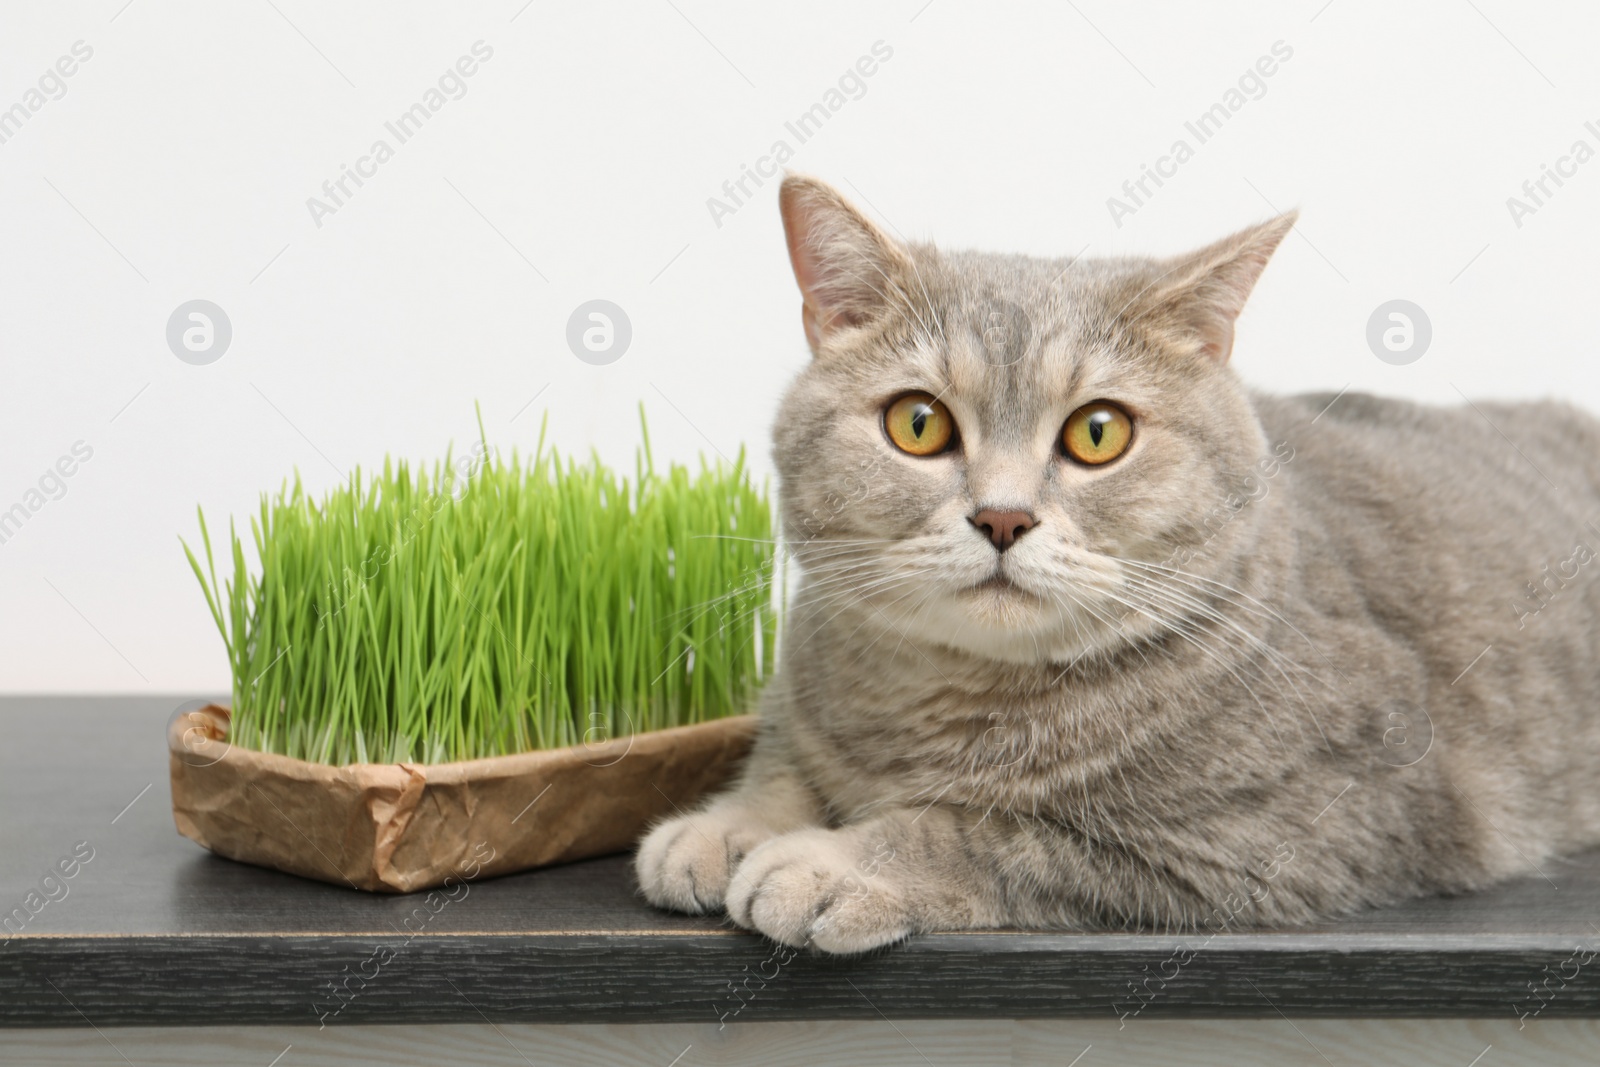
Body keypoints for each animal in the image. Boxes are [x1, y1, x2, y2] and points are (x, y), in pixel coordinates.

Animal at [630, 173, 1600, 953]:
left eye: (1099, 433)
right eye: (918, 423)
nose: (1004, 516)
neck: (939, 705)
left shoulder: (1259, 839)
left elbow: (972, 832)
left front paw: (828, 862)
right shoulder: (802, 698)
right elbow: (782, 762)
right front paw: (727, 825)